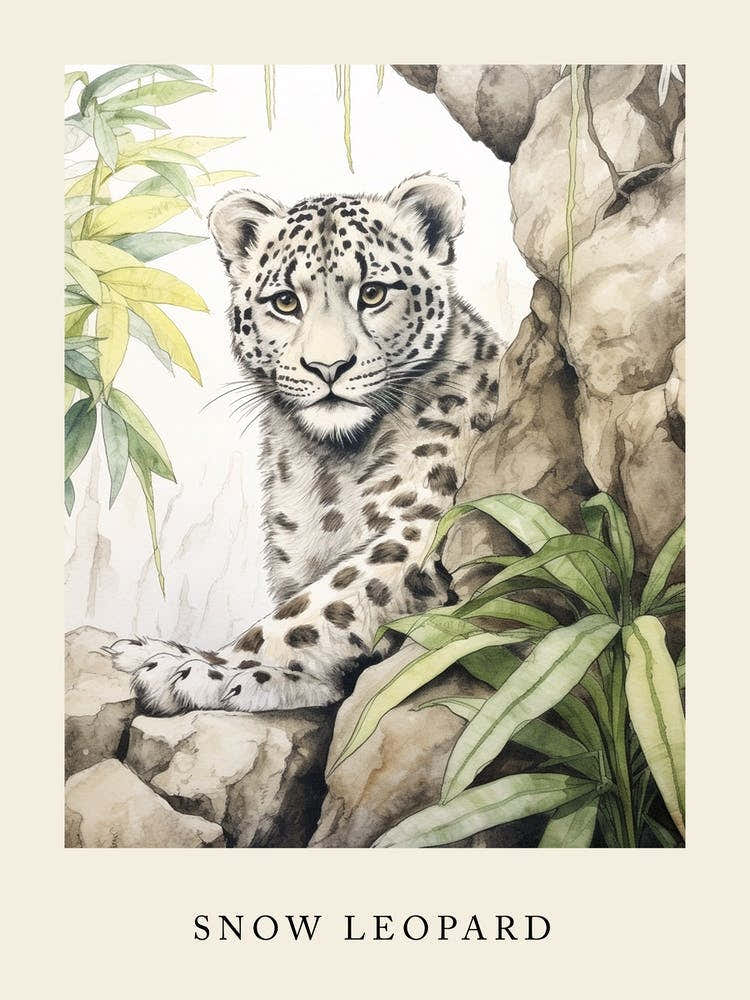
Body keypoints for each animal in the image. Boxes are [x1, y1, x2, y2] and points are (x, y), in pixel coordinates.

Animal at [108, 173, 508, 714]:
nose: (328, 366)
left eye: (373, 293)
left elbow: (314, 612)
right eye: (285, 302)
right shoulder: (295, 561)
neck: (330, 466)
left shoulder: (421, 527)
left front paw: (194, 667)